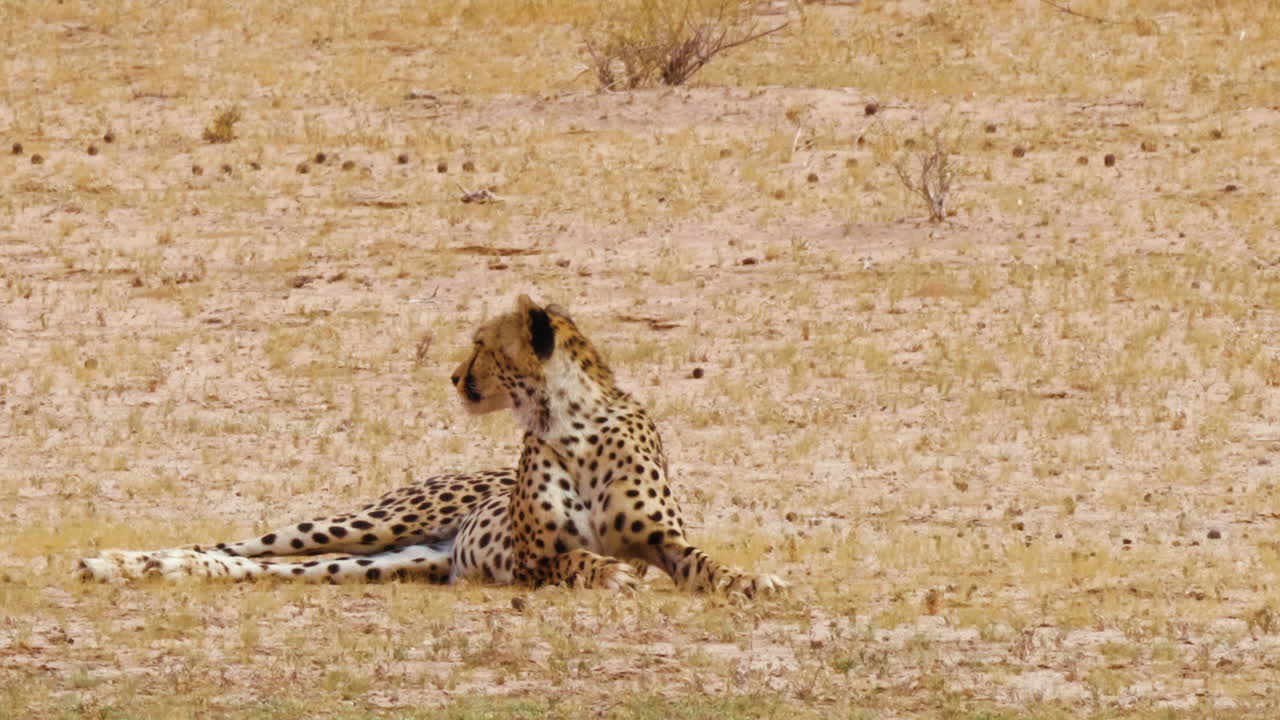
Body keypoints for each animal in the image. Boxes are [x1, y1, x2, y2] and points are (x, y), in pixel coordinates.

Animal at [77, 295, 785, 598]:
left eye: (480, 343)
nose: (451, 376)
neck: (572, 420)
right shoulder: (532, 559)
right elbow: (577, 560)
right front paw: (610, 572)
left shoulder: (664, 540)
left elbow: (705, 562)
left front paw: (754, 579)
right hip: (368, 523)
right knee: (236, 545)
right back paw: (124, 562)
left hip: (393, 560)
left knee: (264, 568)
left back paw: (163, 571)